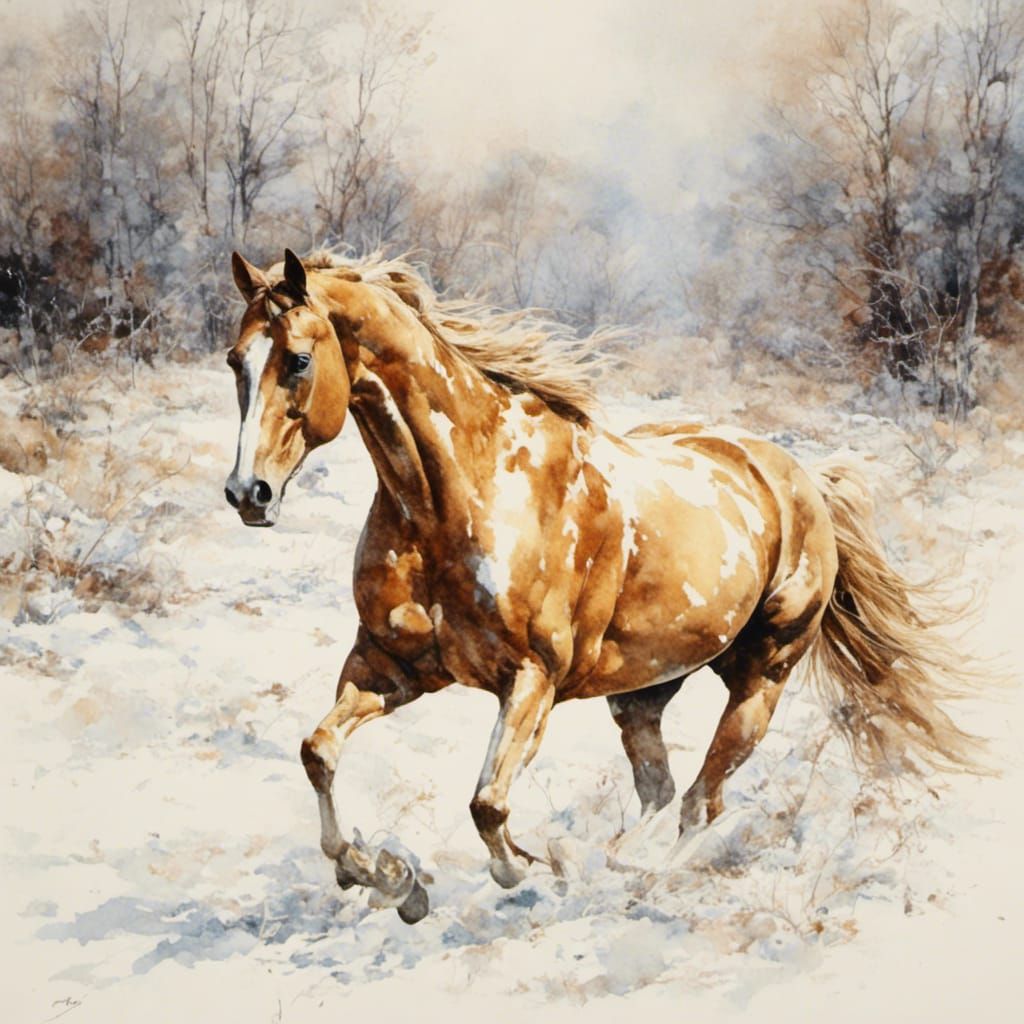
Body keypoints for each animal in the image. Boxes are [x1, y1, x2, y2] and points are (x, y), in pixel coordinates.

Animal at [224, 248, 982, 924]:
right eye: (236, 361)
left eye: (297, 360)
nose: (247, 493)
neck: (455, 495)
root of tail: (802, 481)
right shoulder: (391, 666)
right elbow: (318, 752)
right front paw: (385, 877)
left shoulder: (531, 681)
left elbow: (488, 806)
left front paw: (530, 869)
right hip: (644, 691)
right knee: (660, 790)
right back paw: (607, 861)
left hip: (761, 679)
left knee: (701, 803)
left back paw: (629, 881)